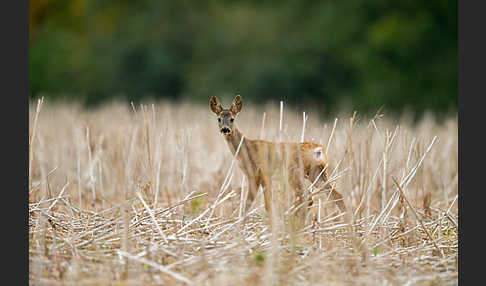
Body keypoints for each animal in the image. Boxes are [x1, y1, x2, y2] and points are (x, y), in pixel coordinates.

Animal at [210, 95, 346, 218]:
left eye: (232, 119)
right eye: (218, 119)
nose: (225, 129)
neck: (246, 149)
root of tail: (319, 150)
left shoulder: (257, 174)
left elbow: (253, 204)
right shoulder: (262, 176)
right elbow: (264, 204)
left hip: (294, 172)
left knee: (307, 196)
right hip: (317, 173)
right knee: (336, 195)